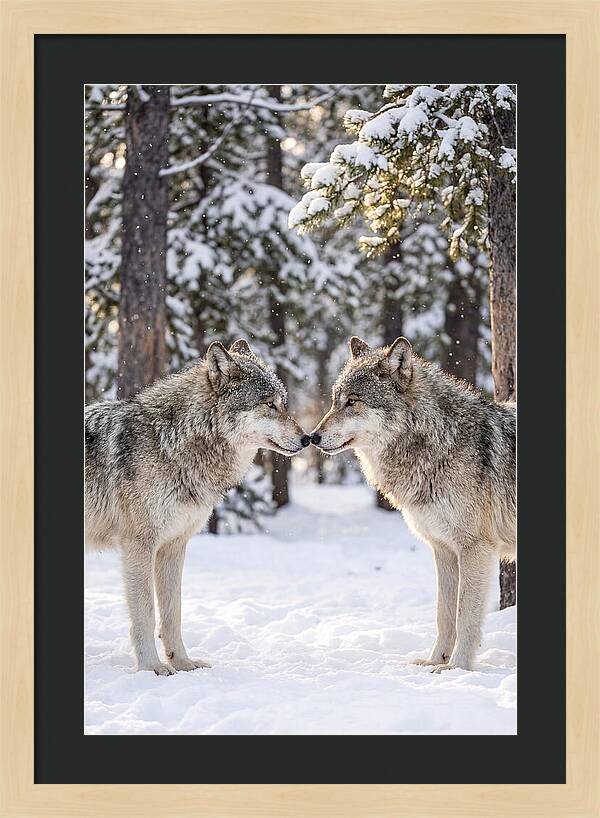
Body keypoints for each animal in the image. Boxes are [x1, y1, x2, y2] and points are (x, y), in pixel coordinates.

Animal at [85, 339, 309, 675]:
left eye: (283, 403)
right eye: (269, 404)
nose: (308, 438)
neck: (171, 443)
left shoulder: (174, 545)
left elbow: (173, 612)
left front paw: (182, 662)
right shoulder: (139, 546)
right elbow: (146, 612)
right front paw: (152, 667)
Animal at [311, 336, 516, 672]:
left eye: (352, 401)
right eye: (334, 401)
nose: (312, 437)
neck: (440, 443)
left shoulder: (476, 549)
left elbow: (465, 616)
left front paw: (456, 668)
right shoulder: (443, 549)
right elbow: (444, 615)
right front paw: (434, 661)